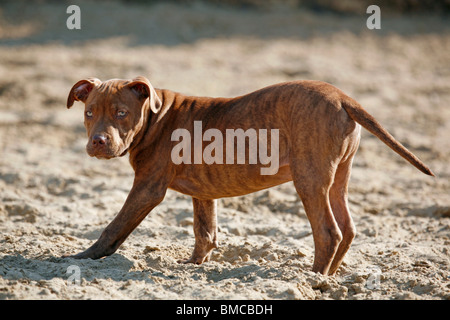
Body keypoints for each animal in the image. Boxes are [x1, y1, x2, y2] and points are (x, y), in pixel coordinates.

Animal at [66, 77, 432, 276]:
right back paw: (330, 277)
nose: (98, 142)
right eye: (89, 113)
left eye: (121, 113)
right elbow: (205, 232)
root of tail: (343, 97)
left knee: (328, 232)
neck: (157, 117)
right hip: (337, 179)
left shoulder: (147, 188)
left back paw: (313, 278)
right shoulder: (203, 192)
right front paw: (193, 265)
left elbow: (114, 227)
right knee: (348, 228)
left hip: (310, 180)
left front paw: (81, 257)